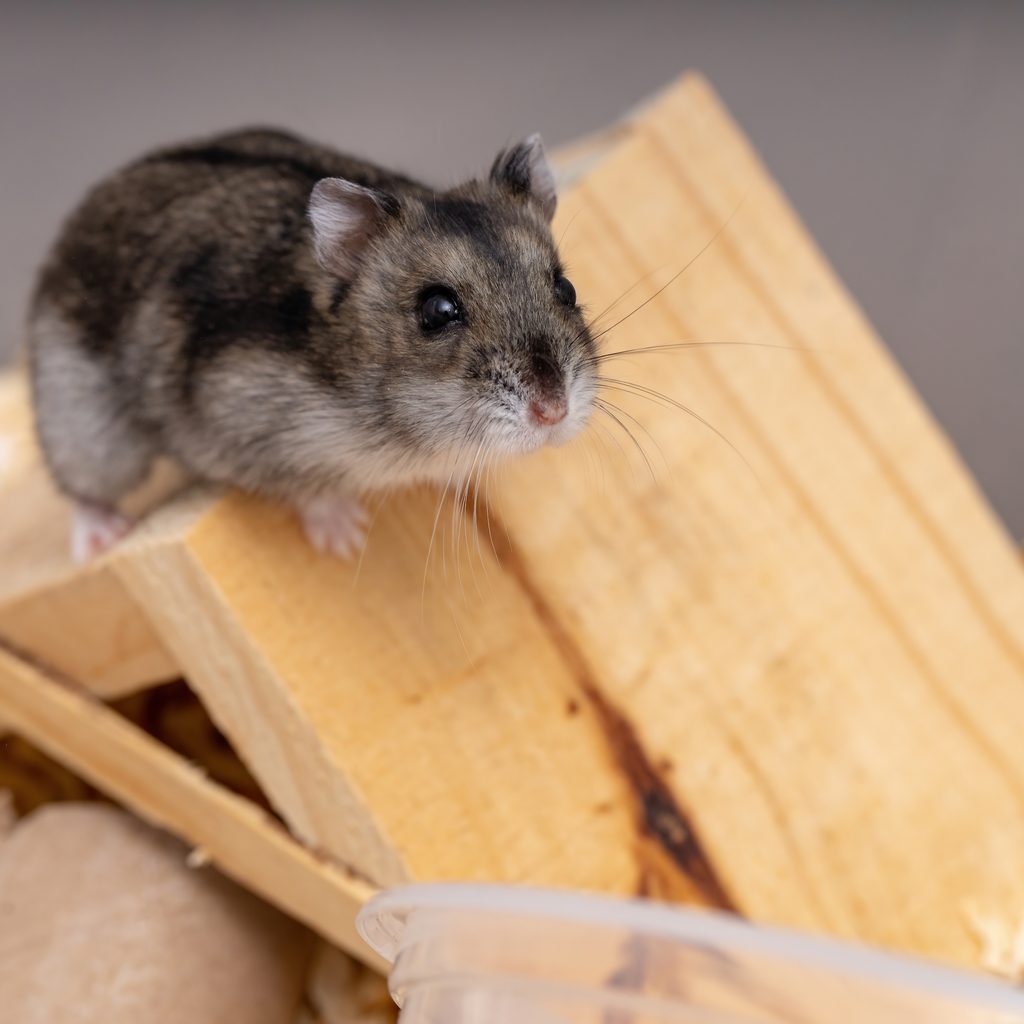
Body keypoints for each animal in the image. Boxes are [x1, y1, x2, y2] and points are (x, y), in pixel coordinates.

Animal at [28, 128, 597, 561]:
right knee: (83, 486)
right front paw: (346, 540)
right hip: (85, 425)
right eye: (437, 311)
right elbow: (306, 486)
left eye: (566, 288)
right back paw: (100, 539)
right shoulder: (242, 419)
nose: (553, 412)